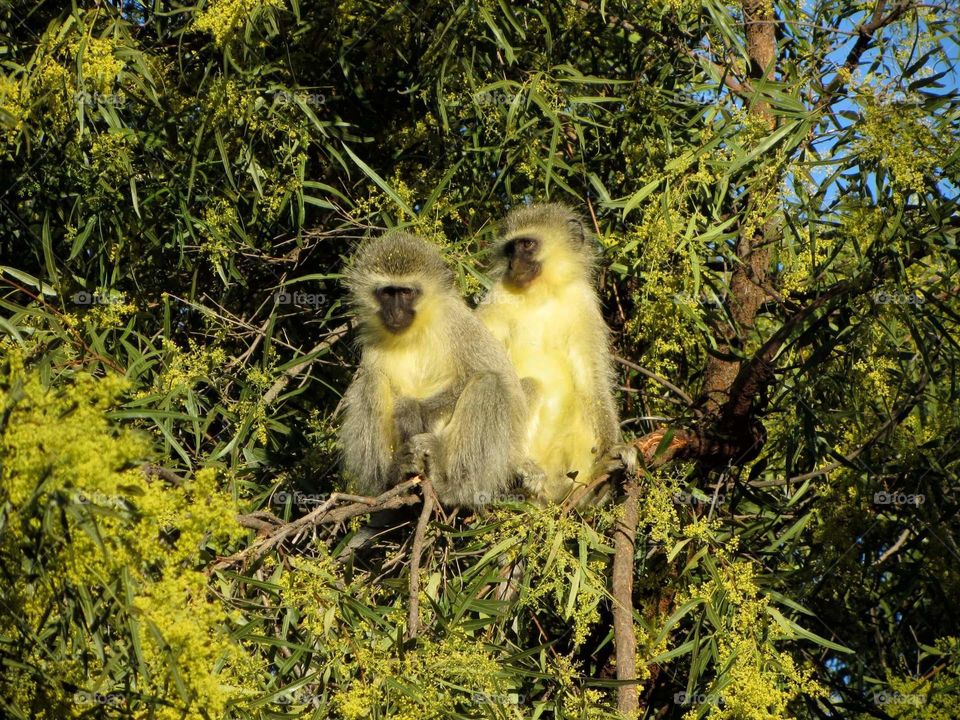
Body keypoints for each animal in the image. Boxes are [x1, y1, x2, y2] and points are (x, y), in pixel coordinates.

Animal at [339, 230, 534, 509]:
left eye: (407, 292)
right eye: (387, 293)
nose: (395, 312)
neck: (415, 330)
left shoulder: (457, 321)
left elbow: (505, 381)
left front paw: (415, 410)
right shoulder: (372, 337)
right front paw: (406, 410)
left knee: (489, 384)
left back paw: (454, 487)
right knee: (371, 382)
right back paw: (390, 478)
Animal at [476, 203, 633, 504]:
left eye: (527, 244)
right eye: (510, 250)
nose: (513, 264)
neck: (542, 293)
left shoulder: (583, 301)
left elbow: (591, 378)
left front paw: (614, 450)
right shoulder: (496, 299)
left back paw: (591, 490)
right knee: (524, 387)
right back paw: (519, 471)